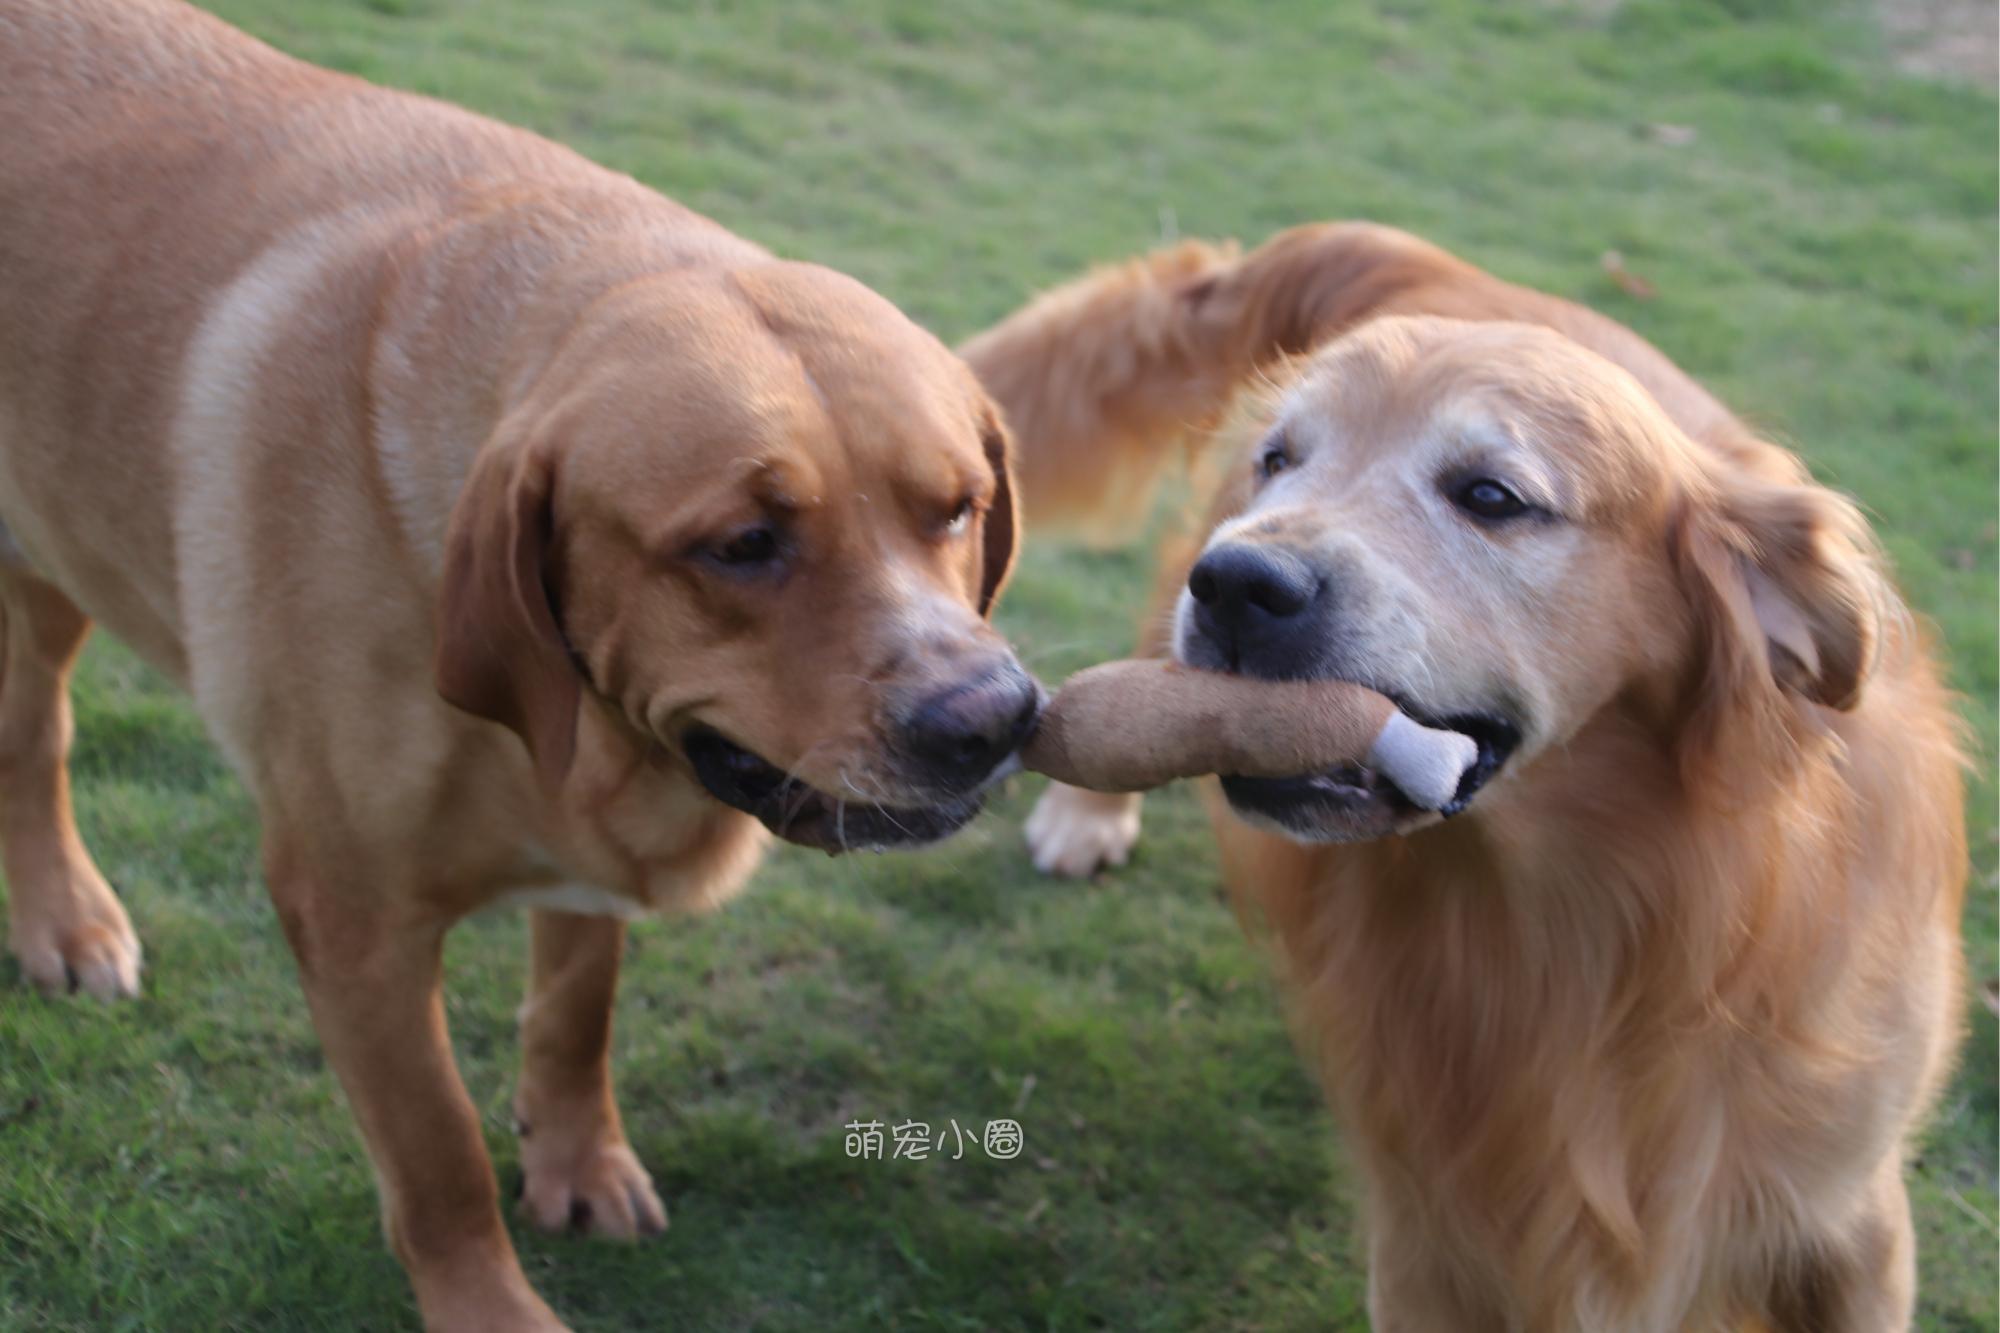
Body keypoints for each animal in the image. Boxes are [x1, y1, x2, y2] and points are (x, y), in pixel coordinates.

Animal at [0, 5, 1032, 1320]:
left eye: (956, 506)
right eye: (743, 545)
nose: (991, 717)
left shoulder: (588, 860)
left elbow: (578, 1009)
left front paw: (574, 1157)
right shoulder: (351, 916)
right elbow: (436, 1152)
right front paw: (487, 1304)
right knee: (33, 734)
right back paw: (64, 916)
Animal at [968, 223, 1968, 1320]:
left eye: (1491, 496)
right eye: (1281, 461)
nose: (1236, 585)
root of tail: (1398, 247)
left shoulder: (1849, 1214)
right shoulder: (1429, 1227)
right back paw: (1087, 815)